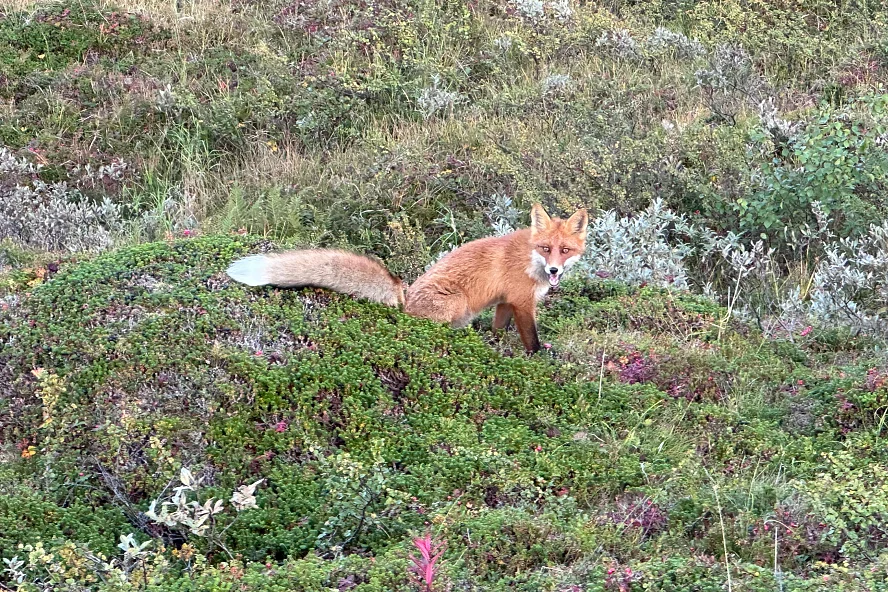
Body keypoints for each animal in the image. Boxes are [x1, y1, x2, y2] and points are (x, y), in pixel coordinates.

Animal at [227, 204, 588, 352]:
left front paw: (497, 344)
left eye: (565, 250)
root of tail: (405, 297)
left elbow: (500, 330)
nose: (554, 271)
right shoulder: (522, 302)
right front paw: (538, 359)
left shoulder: (505, 302)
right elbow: (532, 341)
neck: (529, 259)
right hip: (458, 304)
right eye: (545, 248)